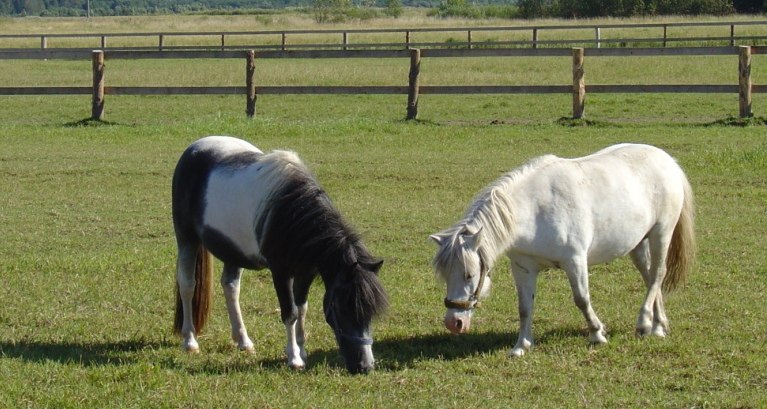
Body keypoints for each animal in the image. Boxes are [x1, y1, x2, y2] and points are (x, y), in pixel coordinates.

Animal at [171, 135, 388, 372]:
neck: (291, 214)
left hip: (233, 251)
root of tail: (195, 147)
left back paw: (243, 341)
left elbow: (302, 309)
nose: (364, 366)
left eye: (370, 313)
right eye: (341, 308)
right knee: (187, 285)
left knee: (231, 287)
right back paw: (190, 341)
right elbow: (290, 313)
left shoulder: (306, 272)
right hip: (187, 240)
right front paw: (294, 358)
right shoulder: (280, 272)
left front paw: (302, 350)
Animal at [432, 145, 696, 356]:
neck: (534, 210)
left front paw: (597, 334)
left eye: (469, 274)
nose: (454, 322)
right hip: (638, 244)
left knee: (658, 275)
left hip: (661, 234)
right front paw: (521, 346)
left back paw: (644, 323)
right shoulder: (523, 268)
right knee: (651, 277)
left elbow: (581, 299)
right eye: (445, 276)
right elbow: (524, 307)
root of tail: (667, 160)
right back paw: (658, 325)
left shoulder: (575, 261)